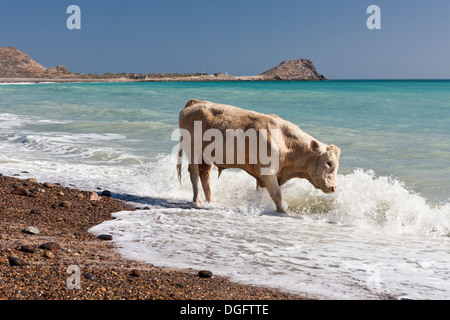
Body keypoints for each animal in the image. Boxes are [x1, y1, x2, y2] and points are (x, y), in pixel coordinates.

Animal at [177, 99, 342, 215]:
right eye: (329, 163)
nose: (333, 187)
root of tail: (196, 103)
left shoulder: (262, 175)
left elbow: (261, 193)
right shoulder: (267, 171)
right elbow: (277, 194)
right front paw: (283, 211)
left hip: (206, 156)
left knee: (205, 174)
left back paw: (211, 200)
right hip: (193, 150)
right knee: (194, 173)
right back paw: (197, 200)